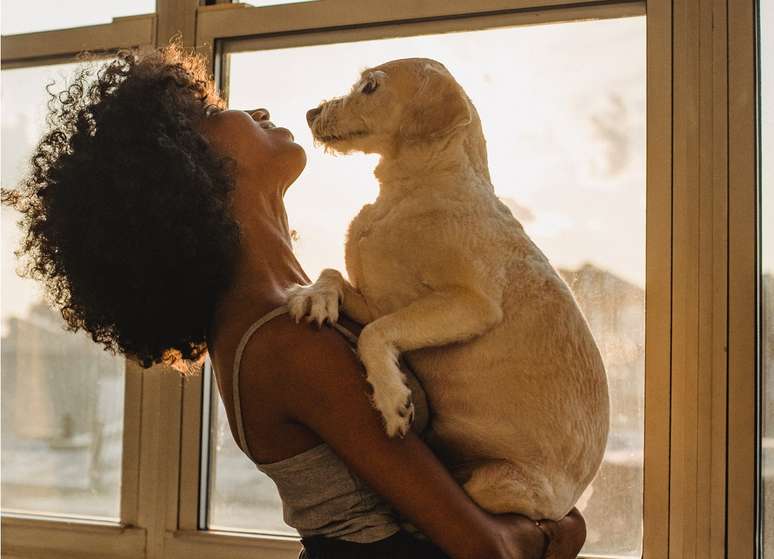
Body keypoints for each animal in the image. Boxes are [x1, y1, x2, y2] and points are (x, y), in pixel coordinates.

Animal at [288, 59, 608, 524]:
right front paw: (315, 295)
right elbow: (333, 273)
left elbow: (376, 334)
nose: (311, 112)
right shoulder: (379, 301)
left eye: (370, 87)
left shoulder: (470, 304)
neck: (408, 191)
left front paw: (391, 398)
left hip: (496, 485)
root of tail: (568, 505)